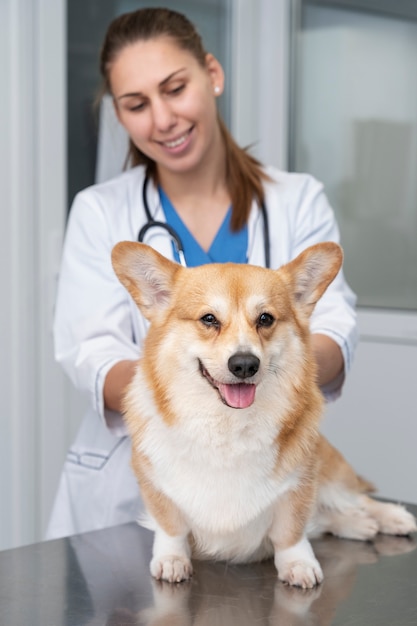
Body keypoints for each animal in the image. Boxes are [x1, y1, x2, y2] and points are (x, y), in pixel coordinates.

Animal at [112, 239, 414, 584]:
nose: (245, 364)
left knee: (354, 498)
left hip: (329, 472)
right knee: (329, 517)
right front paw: (172, 559)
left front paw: (298, 564)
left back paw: (392, 517)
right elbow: (171, 527)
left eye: (266, 319)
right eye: (209, 319)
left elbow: (291, 532)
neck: (227, 425)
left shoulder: (299, 483)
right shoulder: (155, 485)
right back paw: (357, 524)